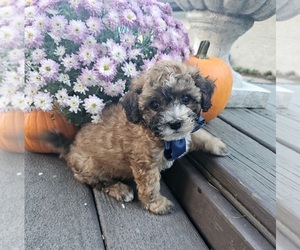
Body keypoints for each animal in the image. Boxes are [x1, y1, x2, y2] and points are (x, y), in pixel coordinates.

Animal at [44, 60, 227, 215]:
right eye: (155, 104)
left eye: (186, 98)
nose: (175, 123)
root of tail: (69, 148)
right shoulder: (145, 164)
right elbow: (150, 186)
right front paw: (157, 204)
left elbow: (197, 133)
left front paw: (217, 145)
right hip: (89, 165)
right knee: (98, 181)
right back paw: (121, 190)